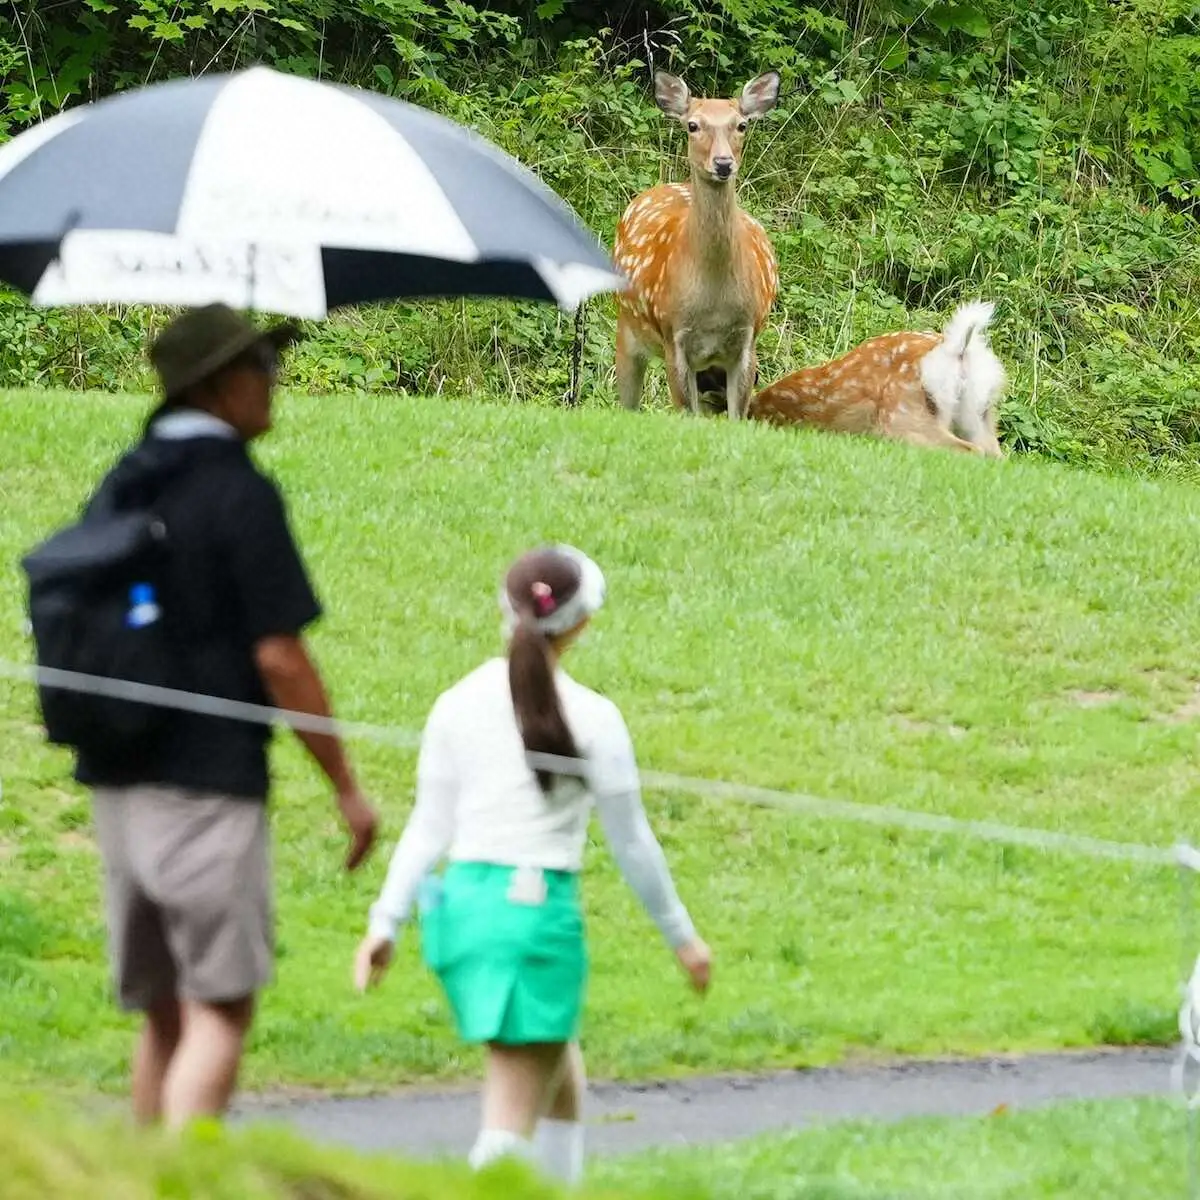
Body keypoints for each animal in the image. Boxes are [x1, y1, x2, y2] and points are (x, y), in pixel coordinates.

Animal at [613, 69, 781, 420]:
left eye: (741, 124)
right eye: (692, 125)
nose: (723, 163)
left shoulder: (746, 340)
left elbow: (736, 417)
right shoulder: (673, 335)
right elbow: (685, 413)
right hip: (627, 327)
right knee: (628, 403)